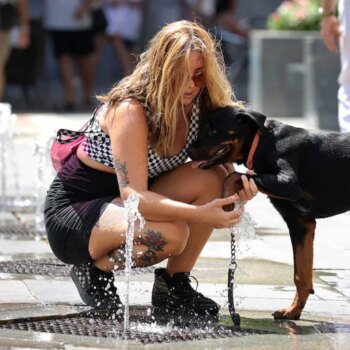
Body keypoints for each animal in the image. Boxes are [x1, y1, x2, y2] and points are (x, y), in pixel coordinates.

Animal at [187, 106, 350, 320]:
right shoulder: (301, 222)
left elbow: (236, 175)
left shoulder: (288, 184)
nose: (188, 151)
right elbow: (301, 274)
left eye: (213, 129)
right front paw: (293, 311)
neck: (262, 143)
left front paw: (227, 199)